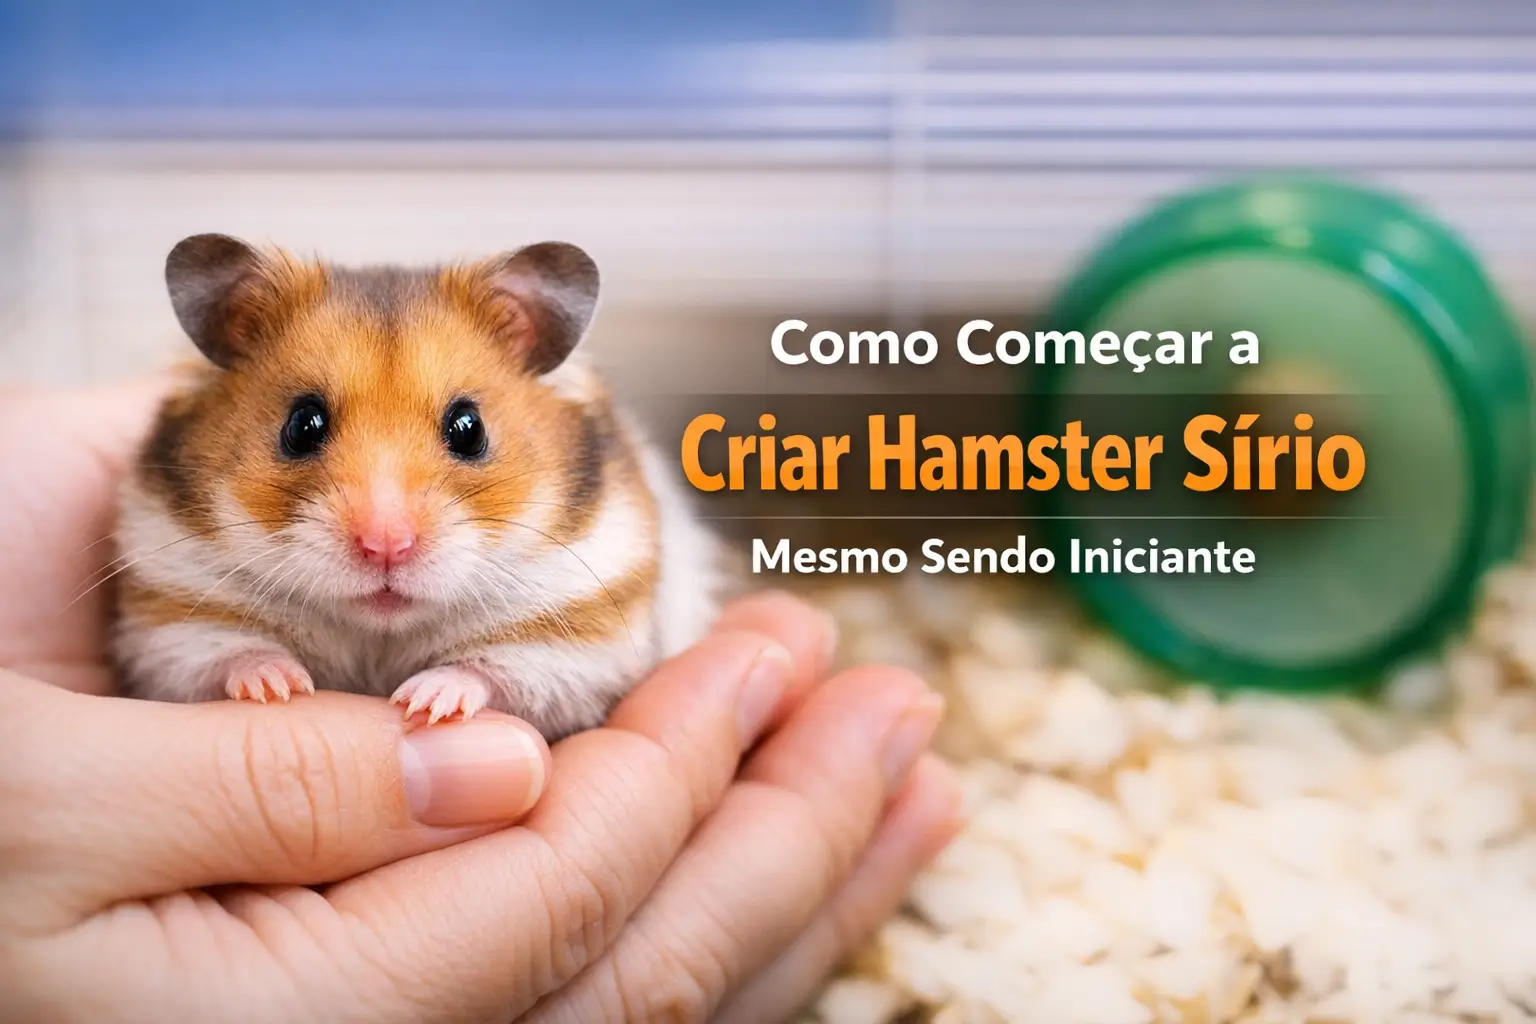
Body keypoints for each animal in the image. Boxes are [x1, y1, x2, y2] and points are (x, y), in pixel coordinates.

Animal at [112, 234, 723, 739]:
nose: (386, 546)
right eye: (302, 424)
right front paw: (277, 686)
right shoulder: (172, 617)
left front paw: (425, 702)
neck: (380, 634)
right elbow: (224, 654)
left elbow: (495, 672)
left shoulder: (577, 640)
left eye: (469, 428)